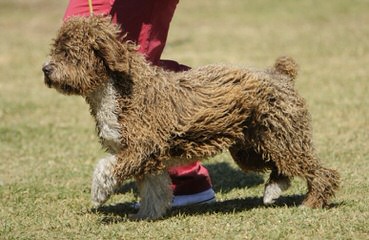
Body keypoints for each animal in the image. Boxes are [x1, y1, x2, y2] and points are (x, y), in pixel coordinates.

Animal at [42, 15, 340, 220]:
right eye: (55, 48)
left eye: (68, 52)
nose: (45, 69)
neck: (120, 89)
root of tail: (280, 73)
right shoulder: (149, 157)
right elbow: (155, 189)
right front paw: (147, 215)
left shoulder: (141, 148)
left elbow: (106, 168)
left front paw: (99, 193)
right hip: (252, 147)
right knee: (283, 169)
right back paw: (273, 191)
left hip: (281, 137)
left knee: (321, 171)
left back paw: (311, 202)